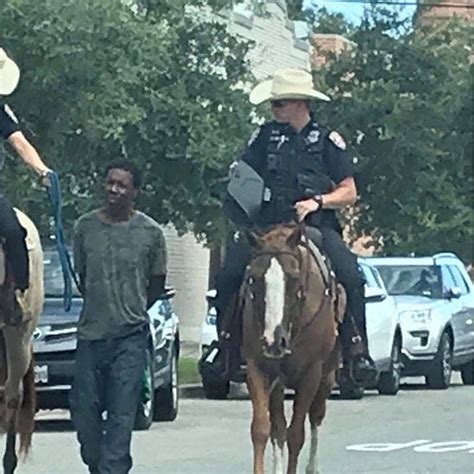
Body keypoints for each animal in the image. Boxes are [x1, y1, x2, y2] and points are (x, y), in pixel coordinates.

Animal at [243, 223, 346, 474]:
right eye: (254, 278)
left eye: (293, 277)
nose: (273, 341)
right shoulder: (256, 368)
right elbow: (262, 429)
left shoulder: (311, 373)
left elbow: (296, 434)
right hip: (279, 382)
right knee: (278, 428)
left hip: (327, 376)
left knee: (316, 416)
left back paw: (312, 467)